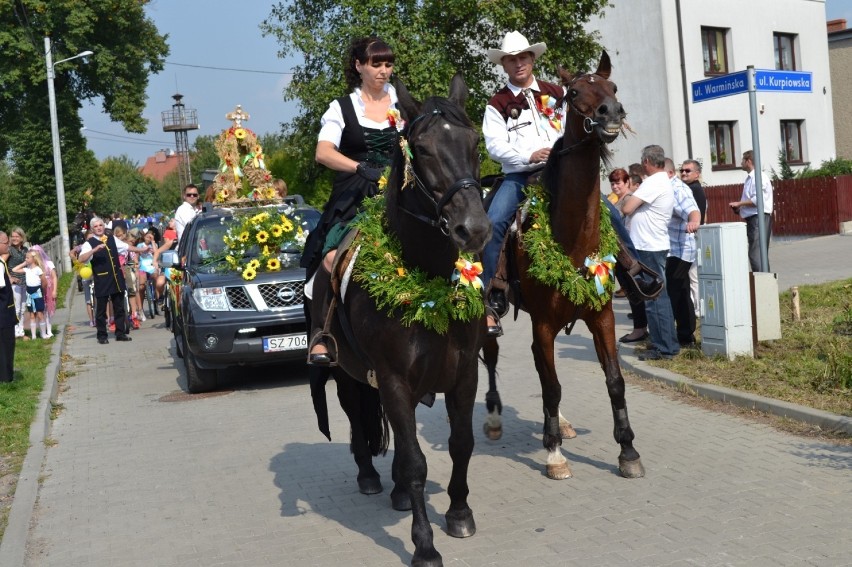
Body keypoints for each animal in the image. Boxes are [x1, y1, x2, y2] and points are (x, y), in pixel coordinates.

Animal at [310, 75, 490, 567]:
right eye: (422, 149)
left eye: (473, 142)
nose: (474, 229)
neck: (426, 279)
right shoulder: (392, 378)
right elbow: (414, 461)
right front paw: (424, 545)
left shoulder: (464, 373)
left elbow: (461, 443)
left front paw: (460, 513)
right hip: (346, 372)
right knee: (356, 418)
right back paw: (371, 477)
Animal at [482, 52, 644, 480]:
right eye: (573, 94)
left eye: (613, 87)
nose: (611, 114)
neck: (570, 239)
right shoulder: (543, 322)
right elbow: (552, 385)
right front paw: (554, 453)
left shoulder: (602, 317)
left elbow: (614, 382)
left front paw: (628, 451)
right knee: (495, 357)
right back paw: (495, 419)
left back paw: (560, 424)